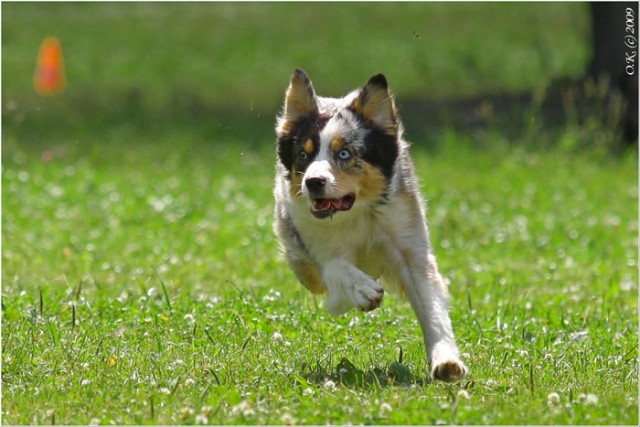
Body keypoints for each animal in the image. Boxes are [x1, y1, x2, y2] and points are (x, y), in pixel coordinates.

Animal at [272, 70, 468, 384]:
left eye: (344, 154)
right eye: (303, 155)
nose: (313, 182)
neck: (358, 212)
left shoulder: (410, 245)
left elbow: (432, 307)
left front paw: (446, 361)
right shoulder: (317, 248)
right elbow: (336, 268)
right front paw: (364, 290)